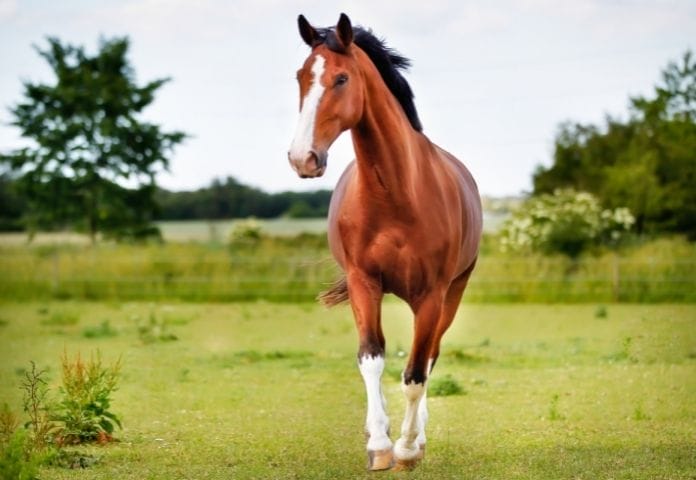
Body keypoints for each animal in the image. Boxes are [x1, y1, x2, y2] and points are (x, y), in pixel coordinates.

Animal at [287, 13, 482, 471]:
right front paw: (379, 444)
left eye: (341, 78)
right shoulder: (364, 283)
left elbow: (415, 374)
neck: (395, 194)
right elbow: (371, 359)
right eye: (301, 76)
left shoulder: (432, 294)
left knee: (430, 357)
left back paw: (418, 437)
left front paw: (407, 448)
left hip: (450, 295)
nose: (302, 158)